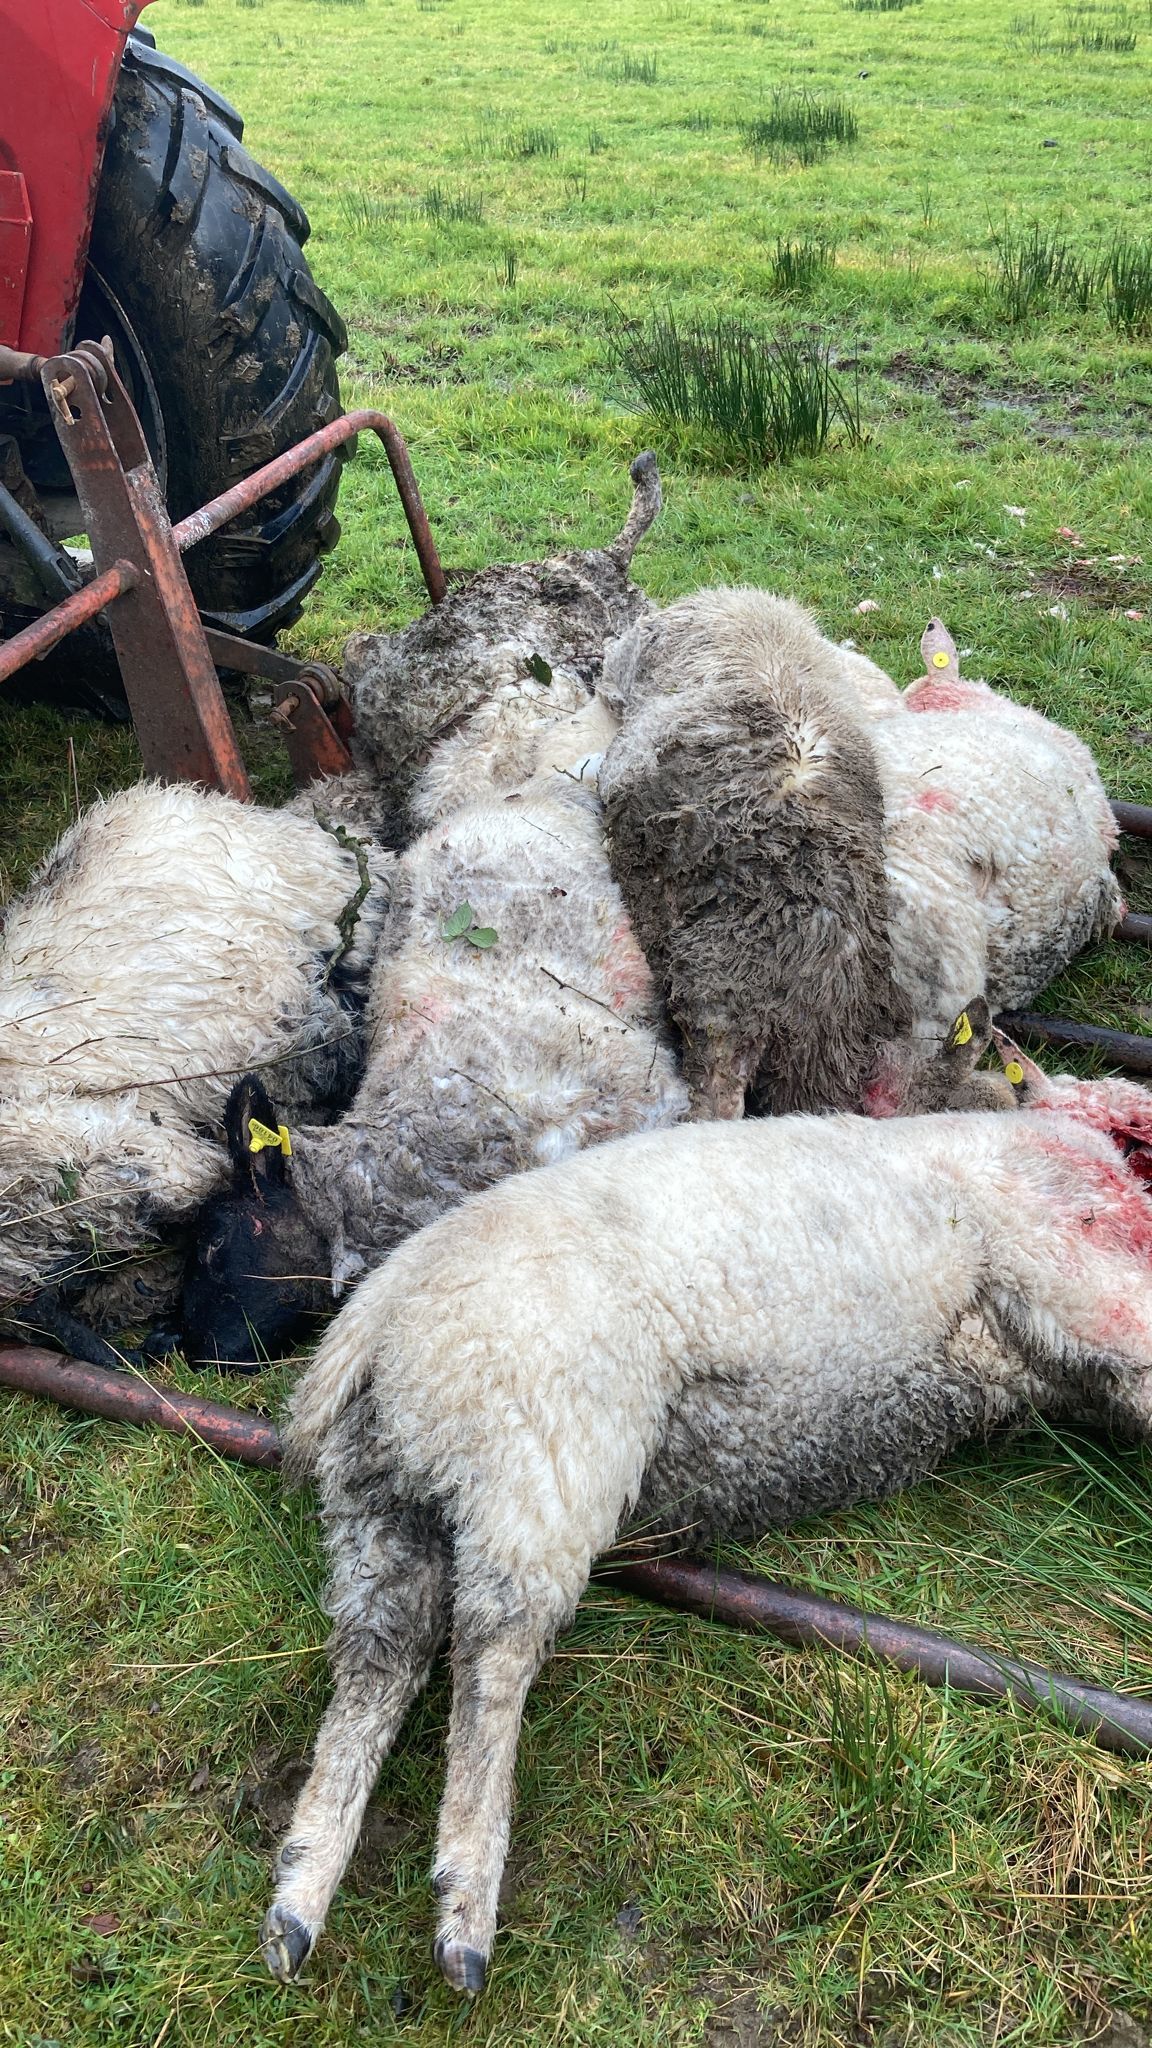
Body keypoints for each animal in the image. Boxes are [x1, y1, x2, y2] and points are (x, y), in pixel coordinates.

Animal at [258, 1016, 1152, 1992]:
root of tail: (373, 1316)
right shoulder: (1081, 1275)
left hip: (384, 1487)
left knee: (379, 1657)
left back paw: (300, 1895)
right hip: (542, 1444)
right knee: (489, 1658)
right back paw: (465, 1902)